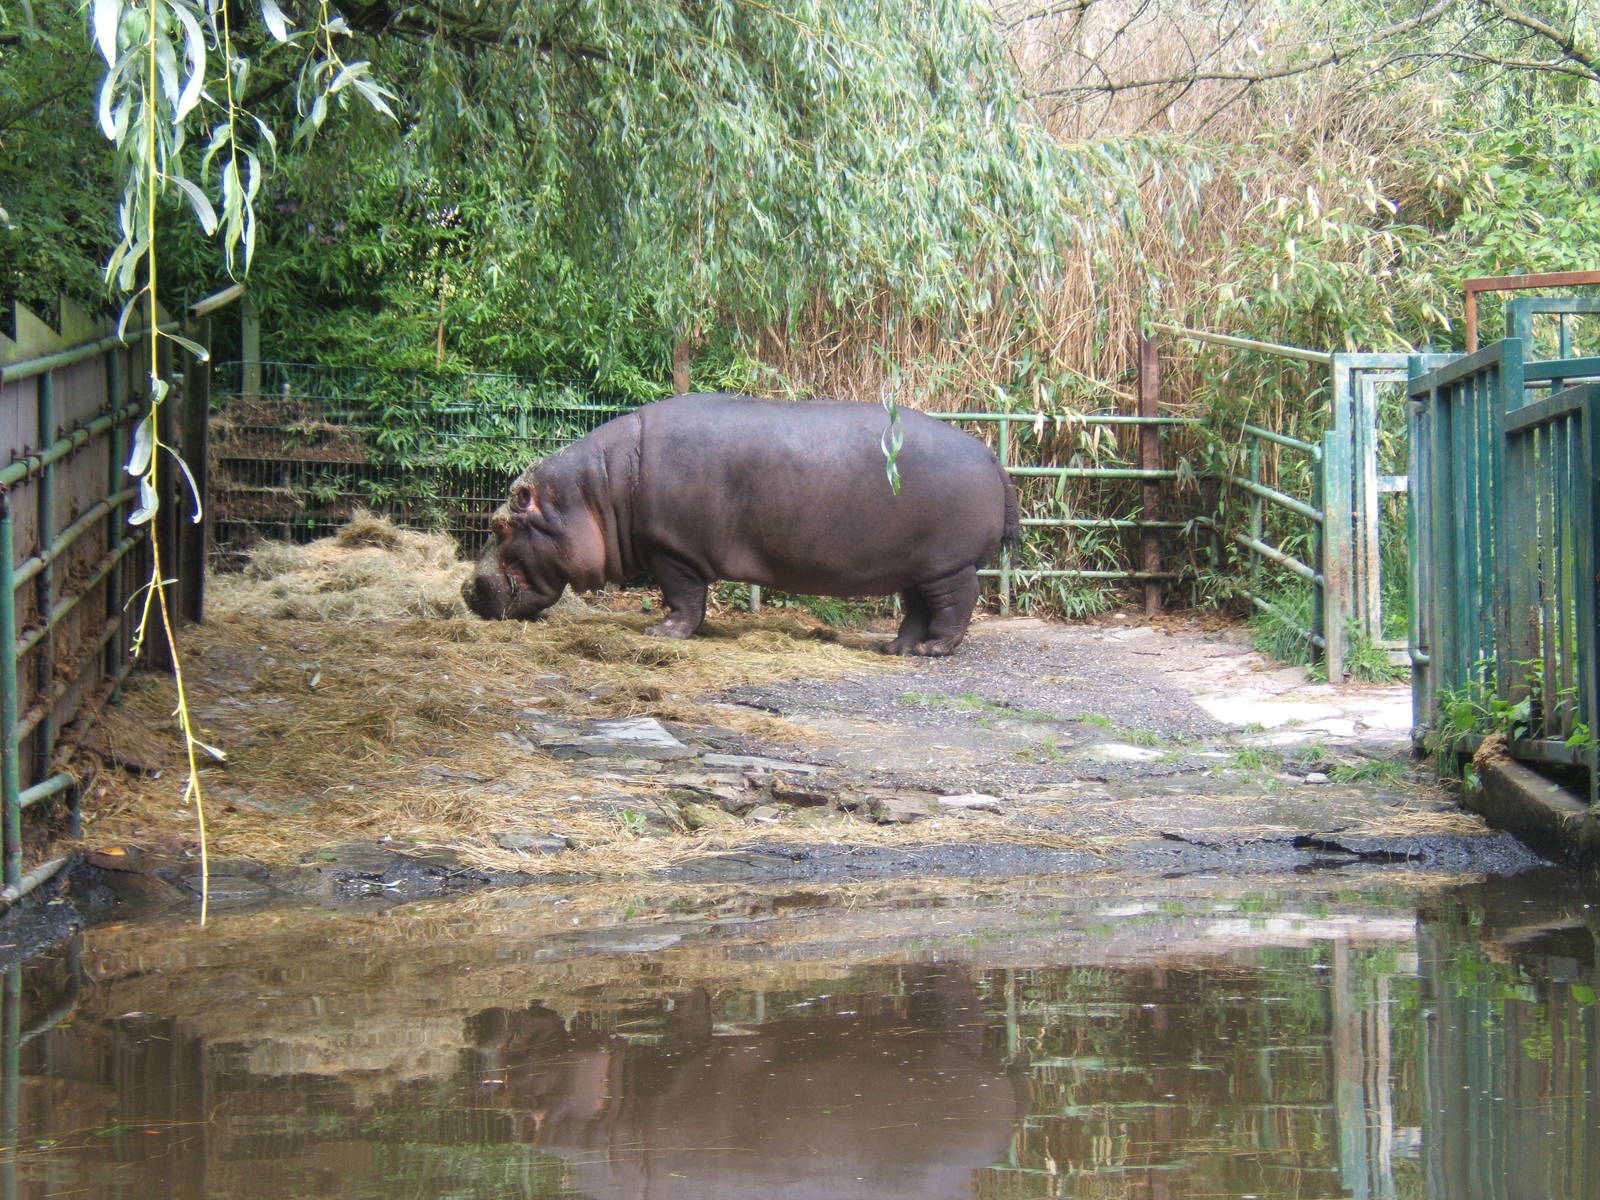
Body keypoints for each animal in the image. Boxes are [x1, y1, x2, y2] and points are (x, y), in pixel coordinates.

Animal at [466, 392, 1020, 656]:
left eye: (499, 526)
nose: (468, 590)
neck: (593, 493)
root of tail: (991, 456)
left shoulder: (672, 551)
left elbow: (683, 598)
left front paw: (661, 632)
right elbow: (694, 600)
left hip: (948, 564)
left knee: (956, 605)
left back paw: (932, 650)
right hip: (914, 565)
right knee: (918, 607)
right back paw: (895, 648)